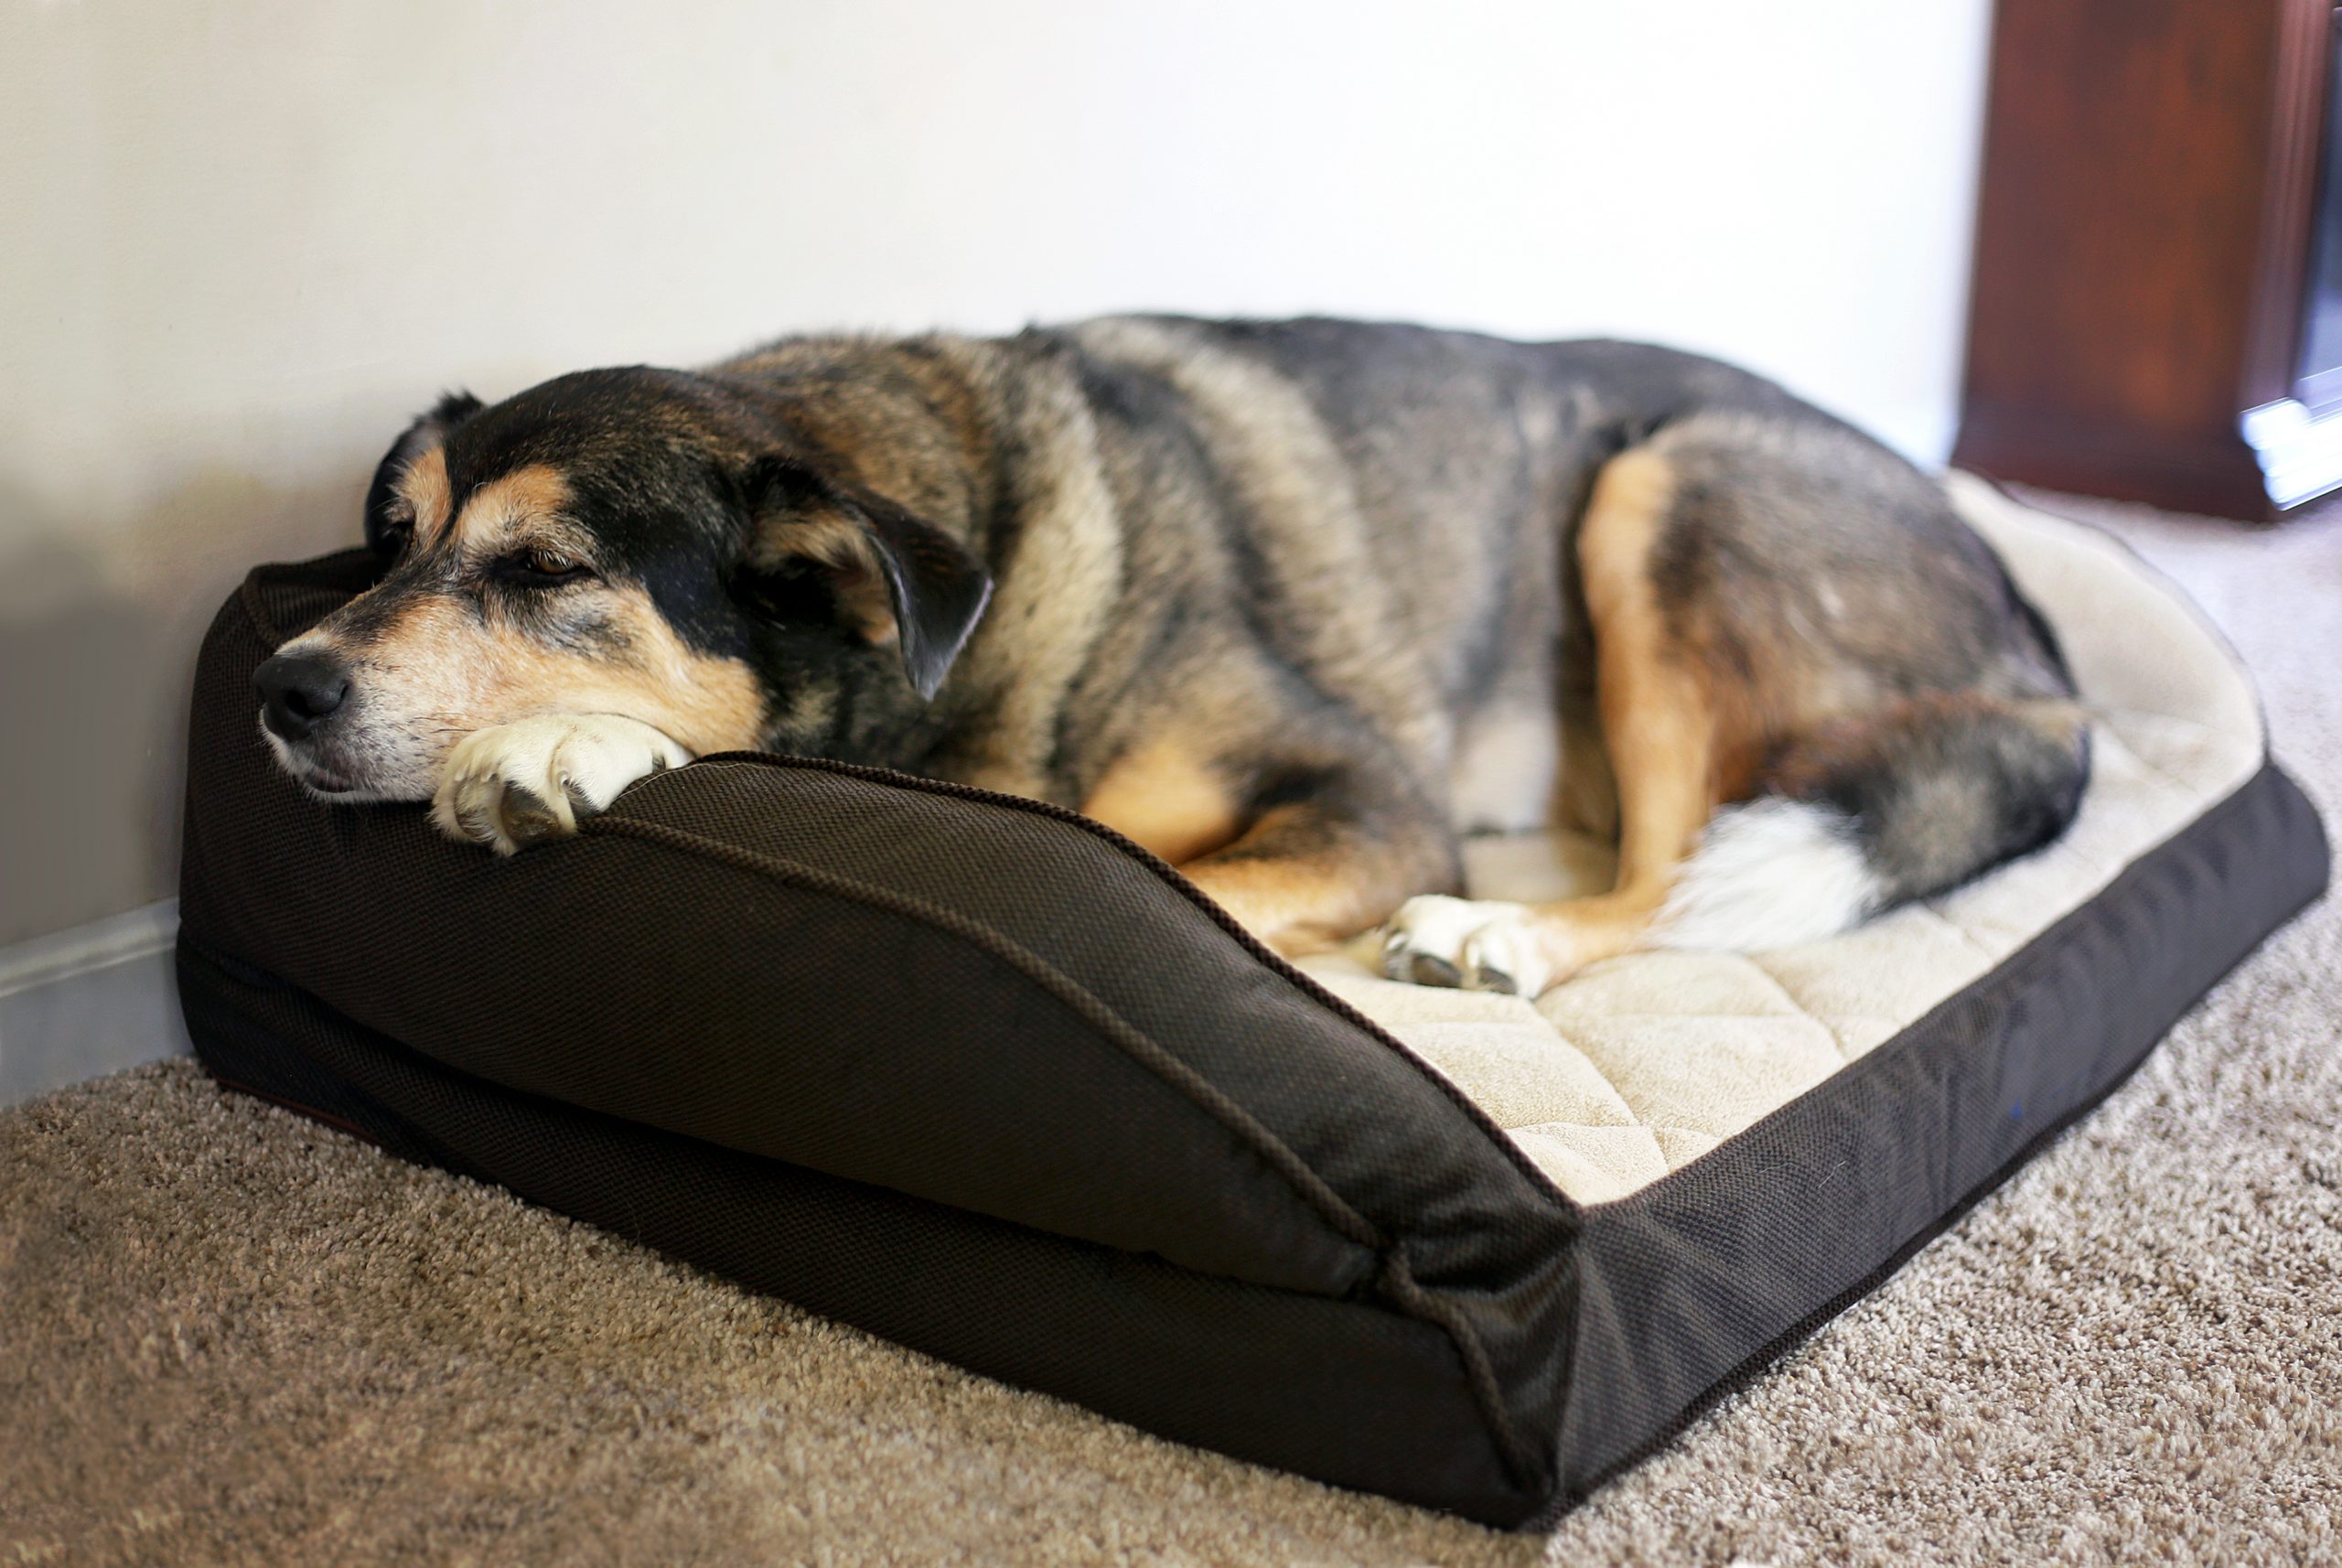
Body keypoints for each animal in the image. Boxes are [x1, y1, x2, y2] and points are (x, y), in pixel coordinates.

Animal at [252, 317, 2089, 996]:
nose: (279, 687)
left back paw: (1496, 930)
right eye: (393, 539)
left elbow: (1166, 880)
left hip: (1661, 490)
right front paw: (579, 747)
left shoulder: (1367, 792)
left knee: (1674, 878)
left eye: (548, 568)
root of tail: (2048, 669)